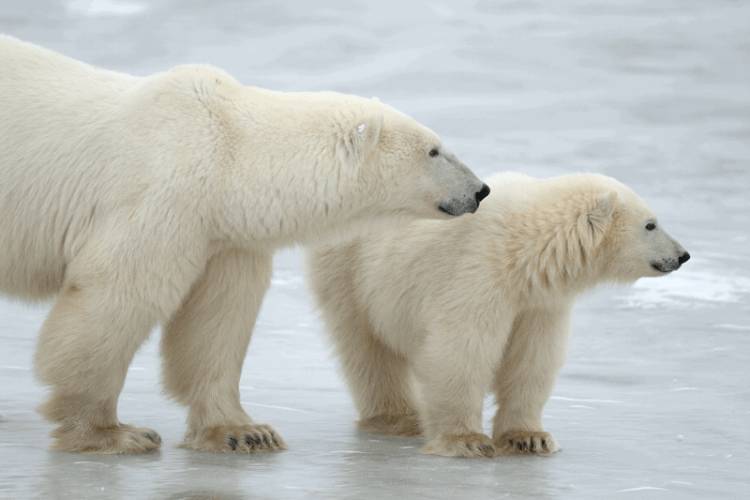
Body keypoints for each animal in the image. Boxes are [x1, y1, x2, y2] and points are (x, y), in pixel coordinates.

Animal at [0, 37, 488, 456]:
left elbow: (218, 319)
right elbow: (116, 297)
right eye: (434, 150)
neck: (227, 154)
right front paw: (112, 432)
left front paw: (244, 432)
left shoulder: (223, 234)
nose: (480, 190)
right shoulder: (159, 196)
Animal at [308, 172, 692, 458]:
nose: (683, 255)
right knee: (366, 349)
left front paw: (530, 437)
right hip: (350, 272)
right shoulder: (478, 273)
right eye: (650, 224)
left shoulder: (539, 303)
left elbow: (532, 360)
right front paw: (466, 441)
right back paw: (397, 417)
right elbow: (461, 352)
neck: (526, 249)